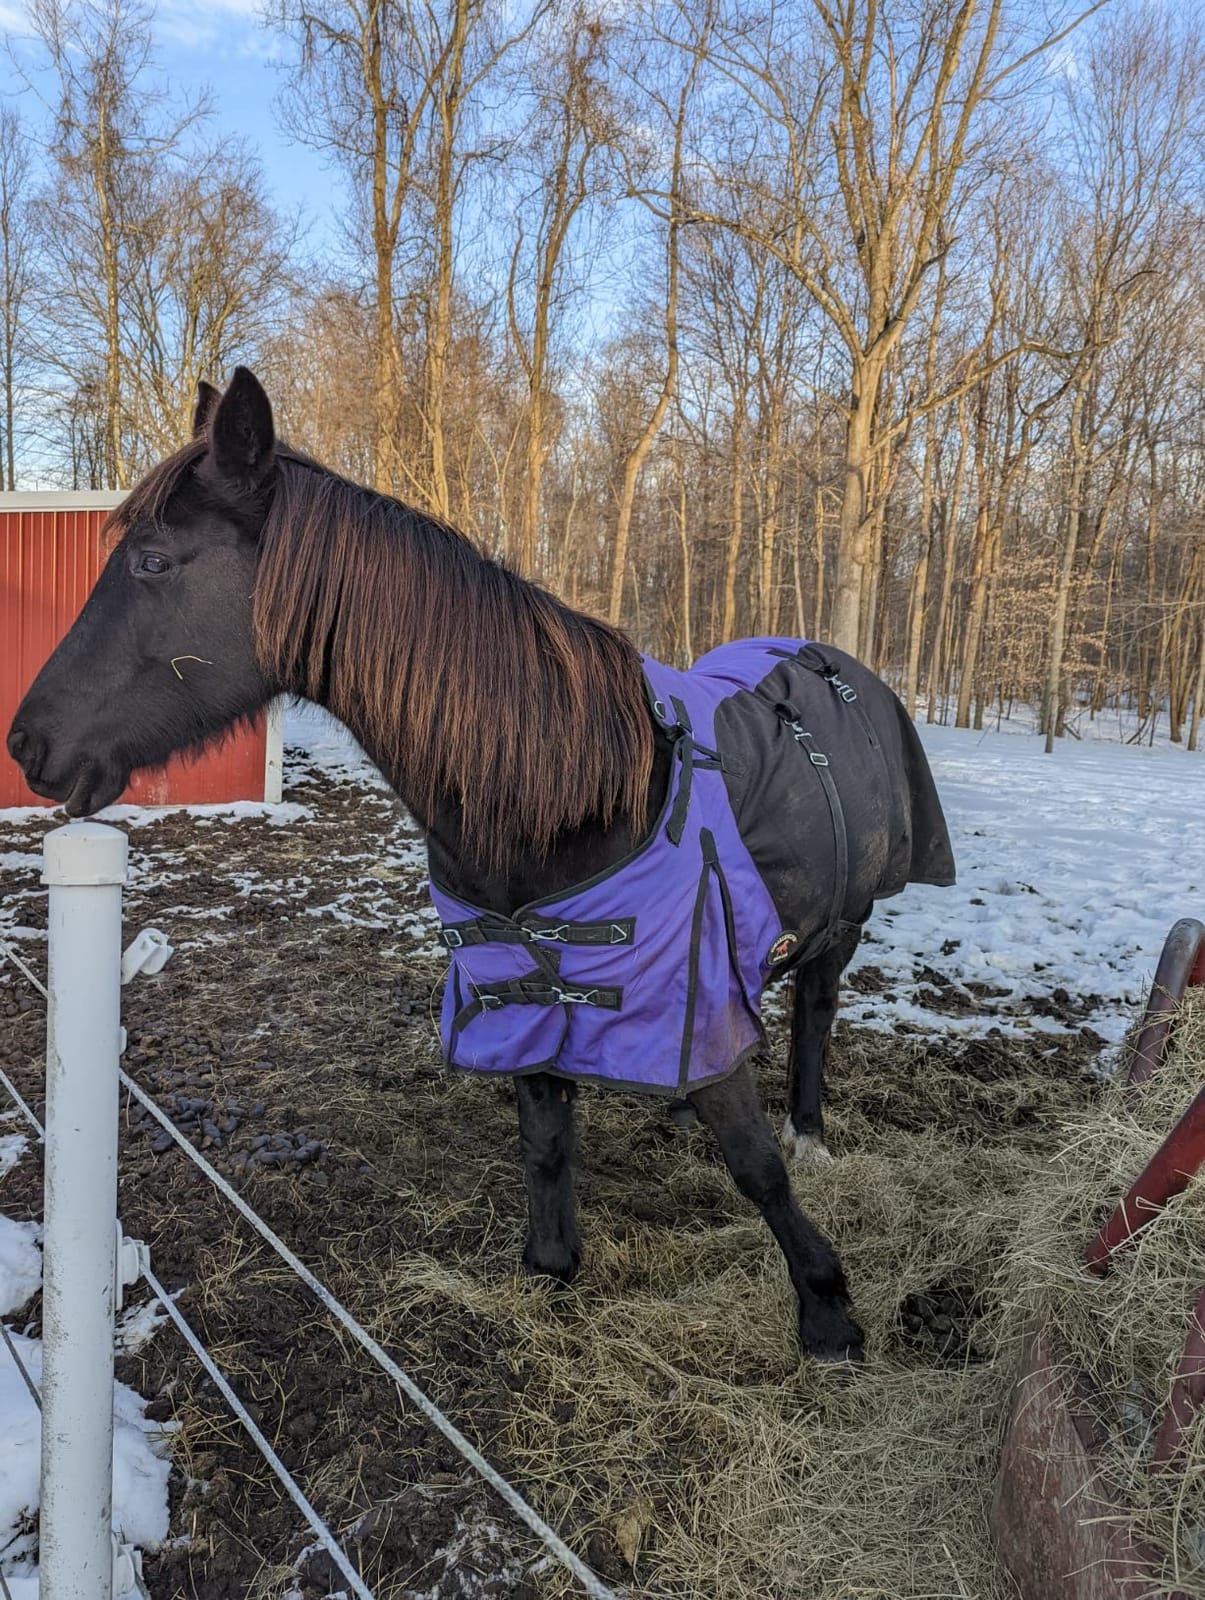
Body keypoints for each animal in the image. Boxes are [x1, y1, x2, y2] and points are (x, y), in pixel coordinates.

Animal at [7, 368, 955, 1363]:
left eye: (152, 563)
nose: (28, 743)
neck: (574, 792)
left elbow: (756, 1165)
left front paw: (826, 1309)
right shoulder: (525, 987)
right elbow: (545, 1137)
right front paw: (550, 1268)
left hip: (841, 926)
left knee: (813, 1012)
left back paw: (809, 1130)